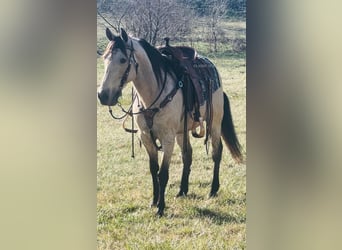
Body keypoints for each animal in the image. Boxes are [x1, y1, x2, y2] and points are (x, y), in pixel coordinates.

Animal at [97, 27, 243, 217]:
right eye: (104, 58)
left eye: (122, 60)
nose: (103, 95)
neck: (153, 94)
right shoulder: (146, 137)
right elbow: (153, 169)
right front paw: (153, 201)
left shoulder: (167, 139)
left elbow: (163, 173)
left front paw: (160, 207)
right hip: (182, 131)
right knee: (187, 155)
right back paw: (182, 190)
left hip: (214, 124)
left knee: (216, 153)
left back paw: (213, 190)